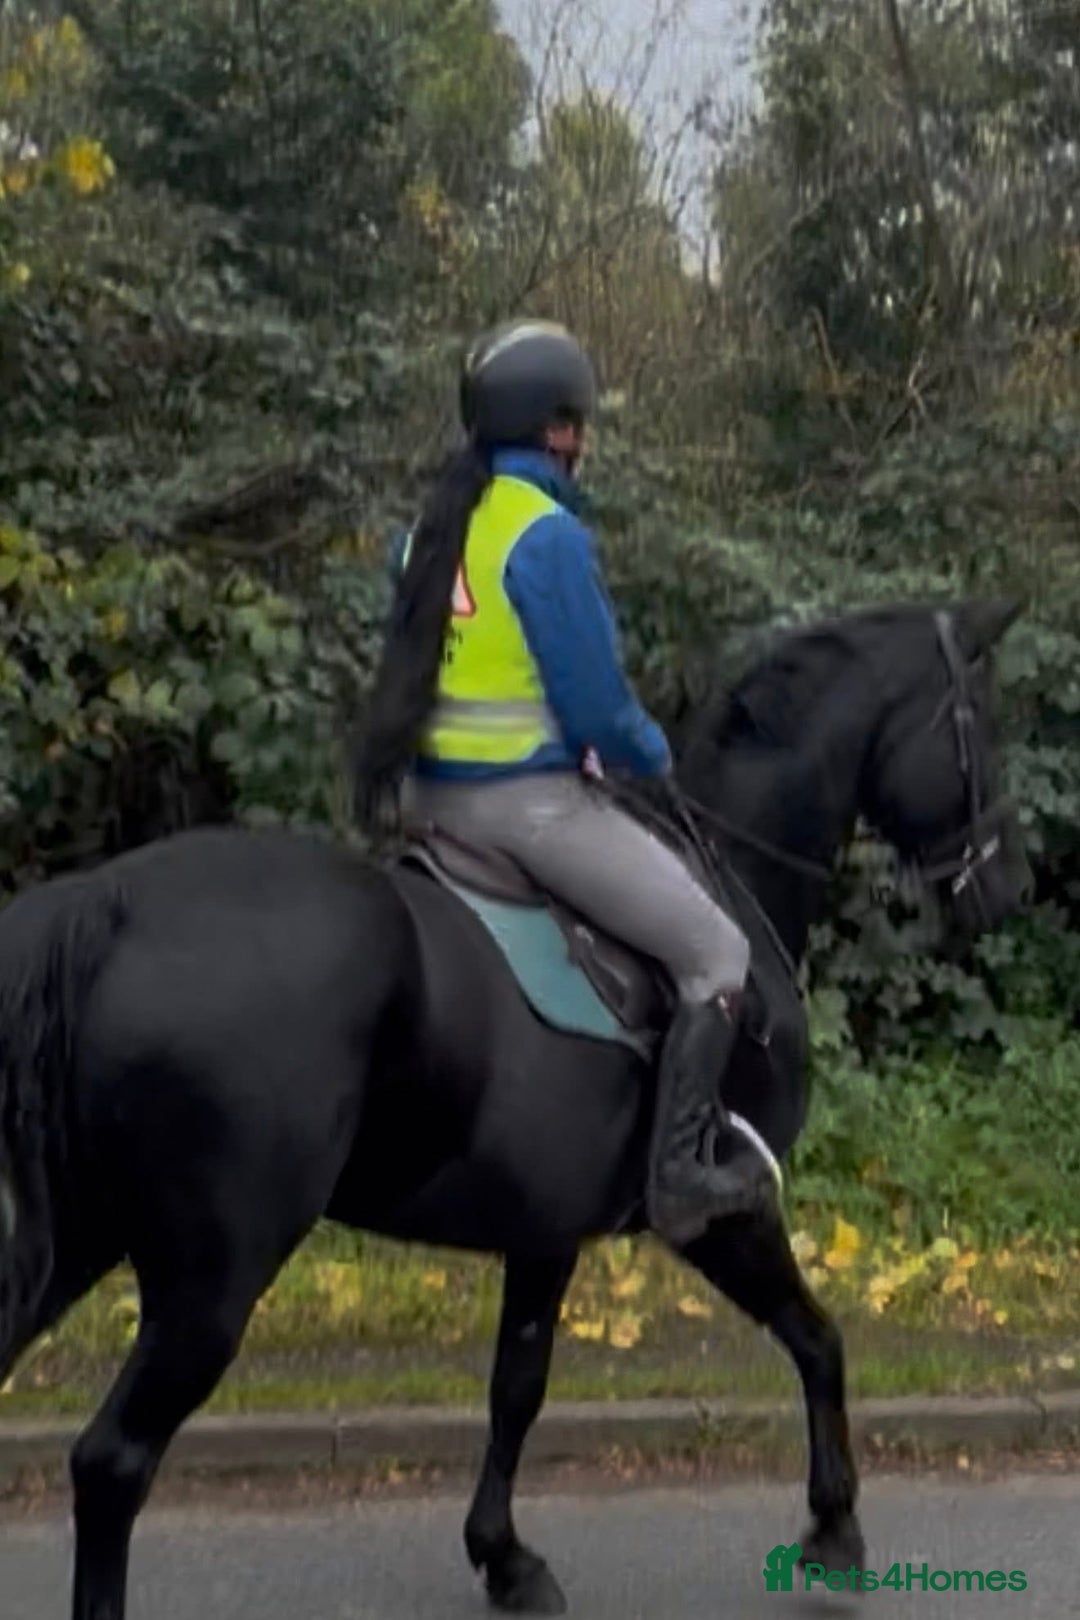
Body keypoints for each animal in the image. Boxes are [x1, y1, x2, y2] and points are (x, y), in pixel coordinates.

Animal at [0, 597, 1030, 1620]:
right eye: (979, 719)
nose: (1005, 887)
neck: (728, 870)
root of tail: (111, 904)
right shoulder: (722, 1215)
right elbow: (819, 1339)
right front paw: (835, 1530)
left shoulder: (545, 1230)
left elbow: (517, 1388)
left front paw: (504, 1558)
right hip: (210, 1276)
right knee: (113, 1462)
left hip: (88, 1236)